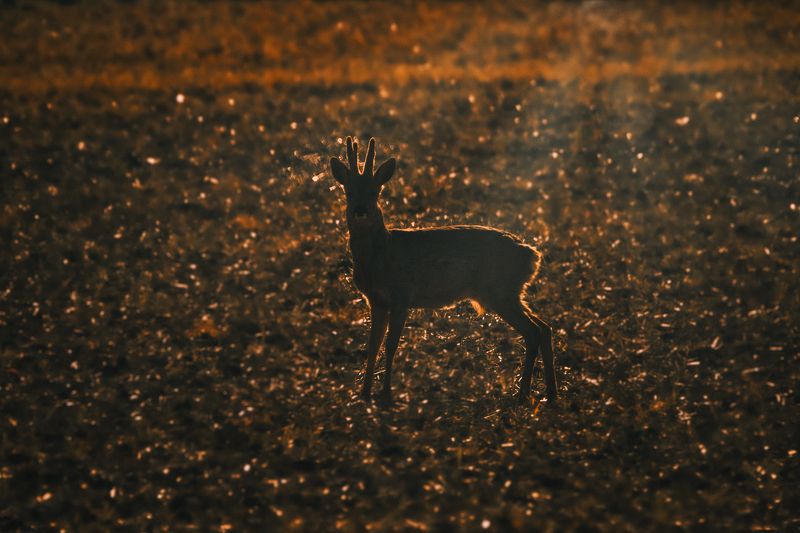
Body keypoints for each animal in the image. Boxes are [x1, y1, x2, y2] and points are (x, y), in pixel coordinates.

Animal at [329, 137, 557, 406]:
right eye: (349, 190)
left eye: (376, 191)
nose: (360, 210)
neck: (381, 254)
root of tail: (532, 255)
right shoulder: (376, 301)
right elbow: (372, 345)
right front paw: (363, 394)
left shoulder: (402, 295)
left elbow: (391, 345)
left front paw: (386, 395)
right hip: (509, 293)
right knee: (544, 327)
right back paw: (550, 394)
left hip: (500, 291)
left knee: (533, 331)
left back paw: (522, 395)